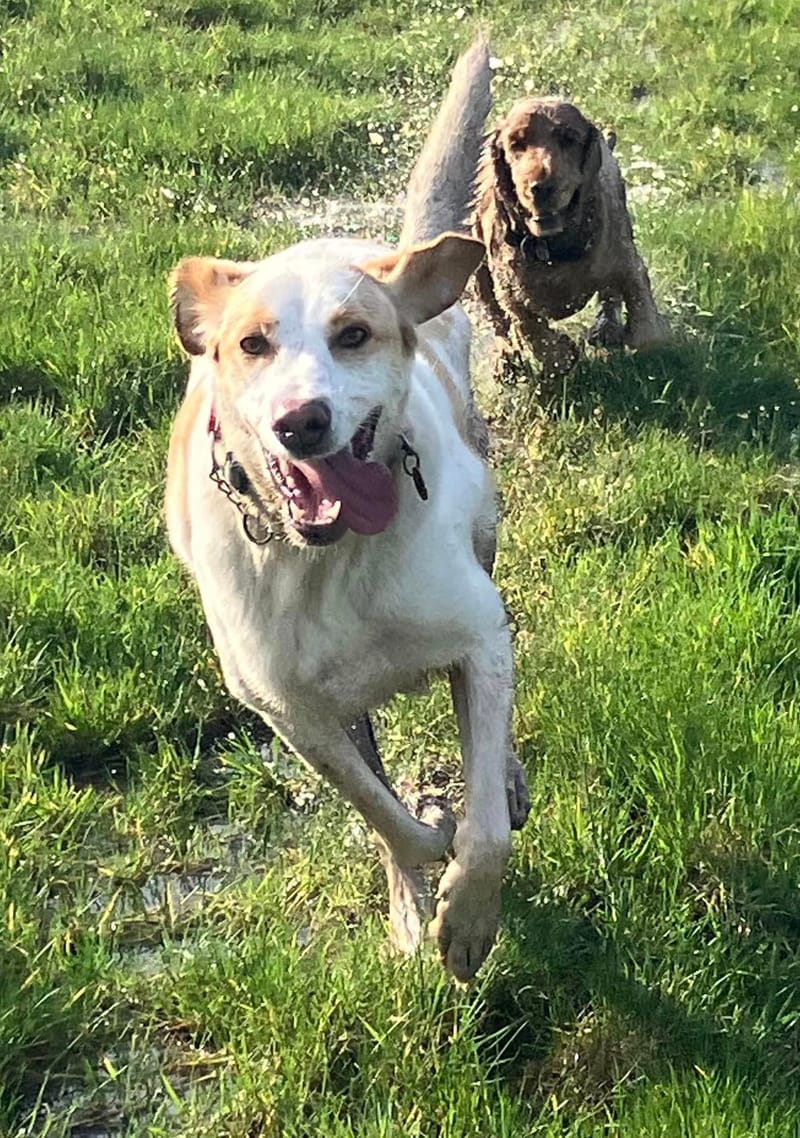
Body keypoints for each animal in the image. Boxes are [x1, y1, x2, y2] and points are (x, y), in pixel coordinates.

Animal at [166, 35, 528, 978]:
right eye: (250, 344)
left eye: (353, 335)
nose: (302, 421)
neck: (330, 560)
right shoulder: (294, 715)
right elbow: (383, 814)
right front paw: (419, 874)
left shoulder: (479, 638)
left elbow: (485, 831)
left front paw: (467, 919)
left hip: (485, 532)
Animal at [475, 95, 669, 396]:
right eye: (516, 144)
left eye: (568, 138)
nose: (540, 187)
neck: (552, 248)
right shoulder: (510, 293)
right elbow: (530, 330)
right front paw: (561, 354)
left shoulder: (628, 263)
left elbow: (646, 330)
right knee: (497, 321)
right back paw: (506, 361)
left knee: (609, 295)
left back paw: (606, 328)